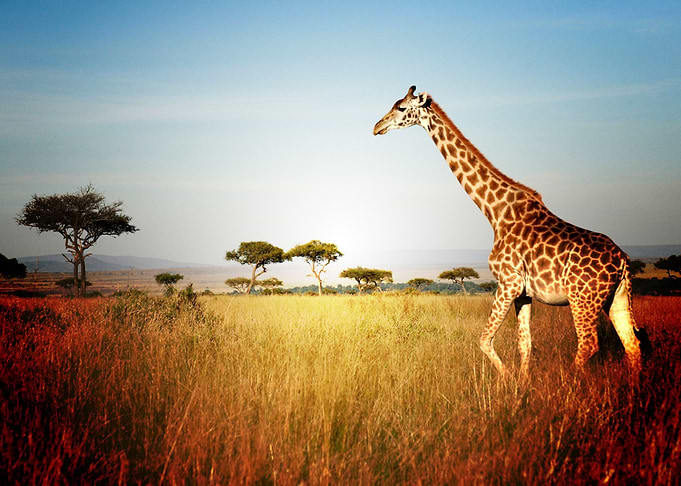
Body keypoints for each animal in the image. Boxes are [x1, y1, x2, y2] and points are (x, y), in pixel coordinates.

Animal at [373, 86, 649, 378]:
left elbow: (484, 339)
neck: (495, 212)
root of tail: (623, 261)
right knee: (632, 343)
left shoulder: (508, 283)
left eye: (402, 108)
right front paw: (522, 384)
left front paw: (506, 378)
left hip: (582, 298)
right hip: (617, 296)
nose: (377, 126)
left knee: (589, 343)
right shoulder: (524, 293)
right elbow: (525, 344)